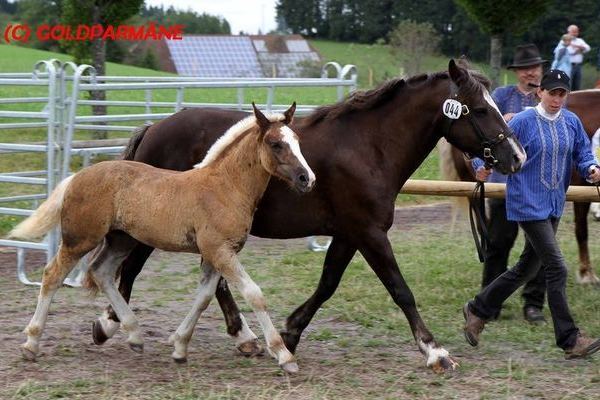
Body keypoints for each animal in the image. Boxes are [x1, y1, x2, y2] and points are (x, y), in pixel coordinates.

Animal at [10, 102, 314, 372]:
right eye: (275, 144)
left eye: (298, 141)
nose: (307, 179)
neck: (224, 187)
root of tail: (76, 178)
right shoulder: (218, 250)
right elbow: (254, 294)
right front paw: (284, 355)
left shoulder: (218, 253)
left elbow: (204, 297)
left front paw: (179, 348)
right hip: (81, 239)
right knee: (53, 275)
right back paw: (31, 344)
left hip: (122, 240)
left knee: (102, 272)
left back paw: (133, 335)